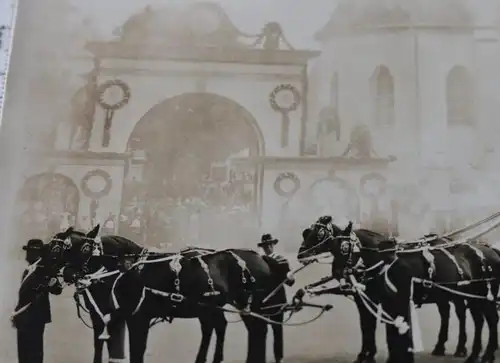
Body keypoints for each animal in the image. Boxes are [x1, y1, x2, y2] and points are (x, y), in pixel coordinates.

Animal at [45, 226, 229, 363]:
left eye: (85, 249)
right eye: (60, 249)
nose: (68, 274)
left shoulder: (136, 318)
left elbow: (135, 349)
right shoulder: (104, 315)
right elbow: (102, 343)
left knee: (217, 326)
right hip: (206, 310)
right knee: (213, 327)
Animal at [300, 216, 500, 363]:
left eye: (320, 234)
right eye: (307, 233)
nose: (300, 253)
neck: (381, 261)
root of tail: (490, 250)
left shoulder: (389, 299)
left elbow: (386, 327)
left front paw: (375, 355)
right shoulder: (365, 299)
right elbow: (367, 326)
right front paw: (366, 354)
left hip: (482, 296)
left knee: (488, 319)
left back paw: (485, 353)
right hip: (466, 296)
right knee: (473, 319)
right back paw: (466, 351)